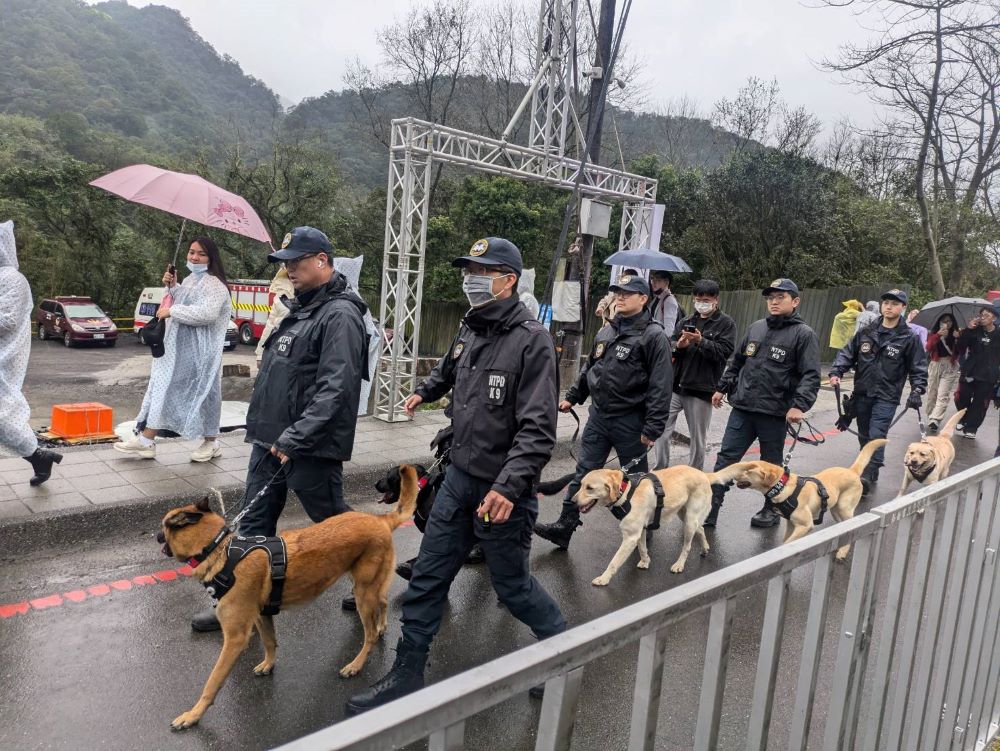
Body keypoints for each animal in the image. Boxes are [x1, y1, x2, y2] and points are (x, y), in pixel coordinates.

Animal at [157, 464, 422, 728]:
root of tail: (380, 520)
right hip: (366, 586)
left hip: (363, 594)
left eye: (163, 526)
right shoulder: (262, 616)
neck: (219, 549)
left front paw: (193, 714)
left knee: (370, 635)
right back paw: (382, 626)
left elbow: (212, 681)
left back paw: (355, 664)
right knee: (383, 601)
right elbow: (269, 642)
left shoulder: (235, 638)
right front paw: (268, 664)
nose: (157, 536)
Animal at [572, 464, 712, 588]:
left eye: (589, 488)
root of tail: (704, 474)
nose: (572, 501)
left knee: (687, 547)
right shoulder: (641, 530)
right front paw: (645, 561)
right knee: (700, 528)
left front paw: (603, 578)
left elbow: (614, 561)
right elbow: (642, 548)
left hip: (689, 522)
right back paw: (705, 548)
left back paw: (679, 564)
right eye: (581, 485)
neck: (625, 492)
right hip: (685, 516)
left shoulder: (630, 537)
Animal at [708, 440, 888, 560]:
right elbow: (786, 539)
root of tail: (852, 471)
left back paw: (843, 551)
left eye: (748, 471)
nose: (734, 475)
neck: (782, 486)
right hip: (836, 510)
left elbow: (787, 543)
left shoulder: (805, 525)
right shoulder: (790, 523)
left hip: (844, 507)